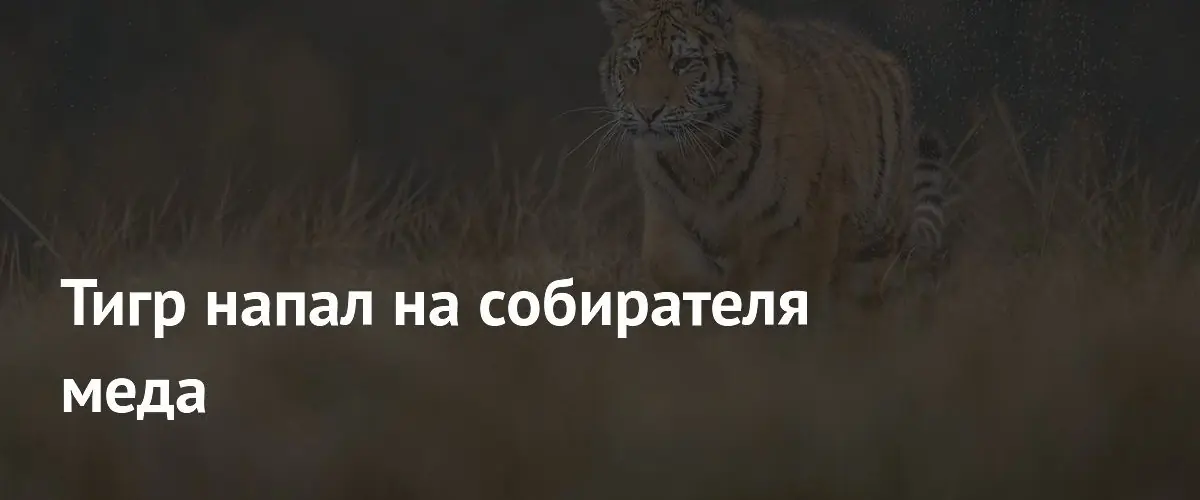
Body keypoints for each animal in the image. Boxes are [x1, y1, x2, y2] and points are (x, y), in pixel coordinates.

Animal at [595, 0, 949, 314]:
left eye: (682, 63)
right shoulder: (665, 214)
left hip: (878, 234)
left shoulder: (807, 226)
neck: (700, 157)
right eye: (634, 63)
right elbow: (671, 266)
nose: (646, 111)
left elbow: (791, 293)